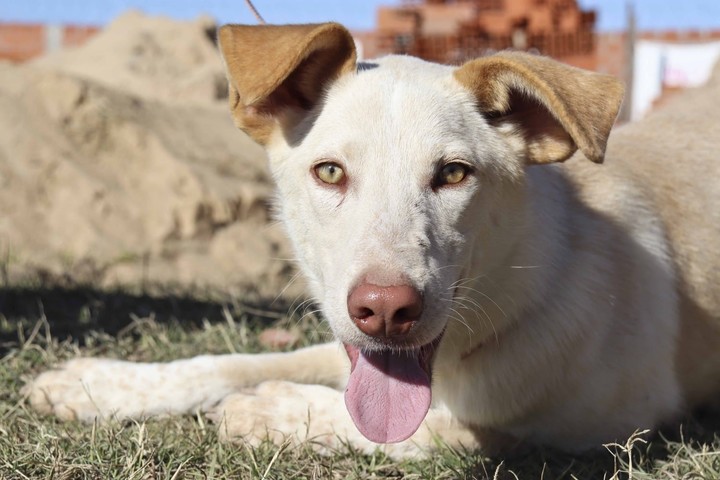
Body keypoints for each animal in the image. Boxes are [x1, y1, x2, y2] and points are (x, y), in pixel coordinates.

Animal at [25, 22, 720, 458]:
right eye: (330, 172)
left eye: (454, 174)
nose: (386, 311)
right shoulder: (348, 343)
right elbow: (233, 361)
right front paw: (100, 384)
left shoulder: (610, 425)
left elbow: (433, 428)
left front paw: (273, 412)